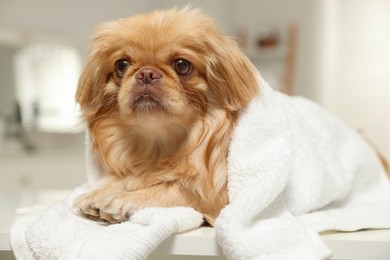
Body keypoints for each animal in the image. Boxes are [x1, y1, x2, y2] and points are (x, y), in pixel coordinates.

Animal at [74, 6, 258, 225]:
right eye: (121, 65)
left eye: (182, 65)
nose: (146, 73)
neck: (159, 145)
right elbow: (126, 179)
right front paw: (100, 192)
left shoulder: (215, 197)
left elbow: (170, 189)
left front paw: (121, 200)